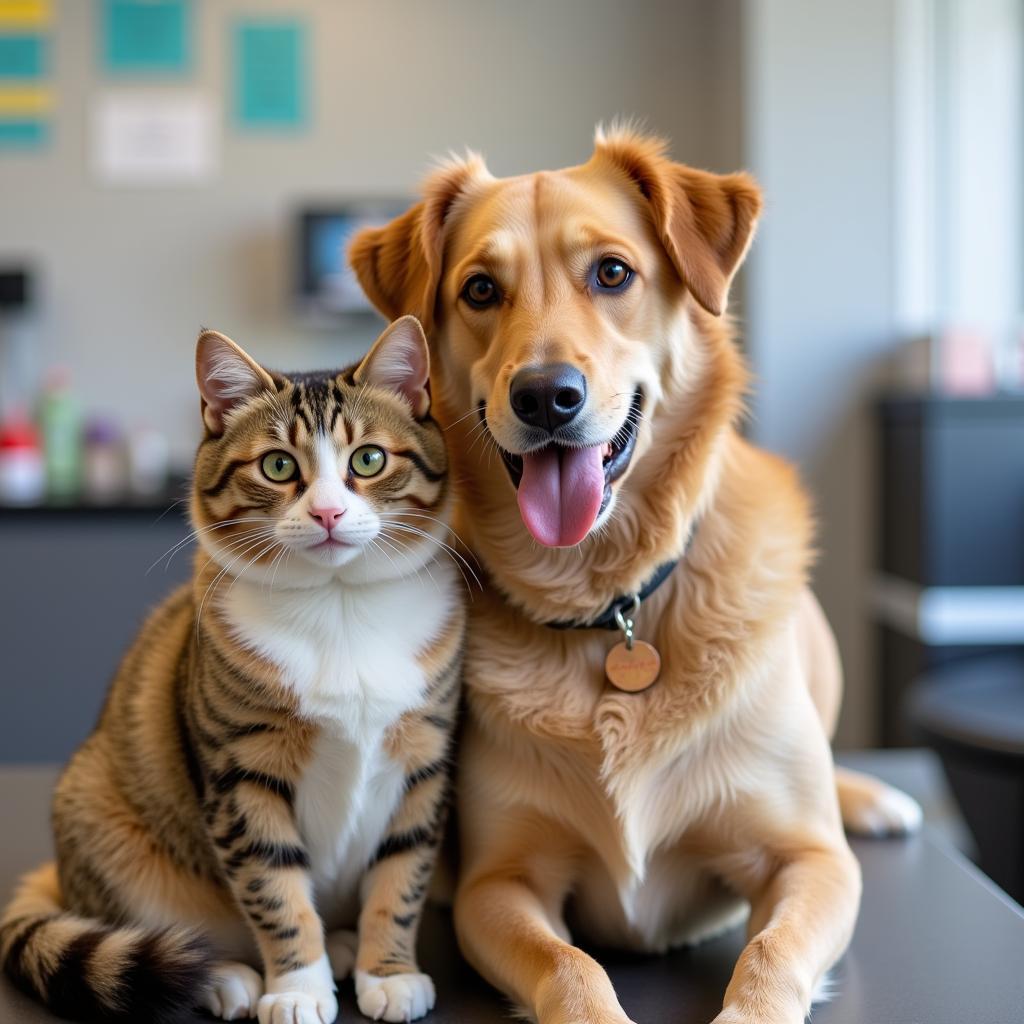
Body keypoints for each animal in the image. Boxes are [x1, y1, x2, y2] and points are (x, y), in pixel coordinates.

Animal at [0, 317, 464, 1024]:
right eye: (278, 465)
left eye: (368, 459)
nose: (328, 513)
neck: (339, 606)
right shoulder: (243, 775)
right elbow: (274, 890)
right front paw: (297, 987)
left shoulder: (424, 763)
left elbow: (401, 876)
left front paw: (389, 972)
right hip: (107, 828)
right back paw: (224, 976)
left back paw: (346, 946)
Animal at [350, 128, 921, 1024]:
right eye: (480, 289)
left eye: (612, 273)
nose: (546, 395)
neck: (611, 605)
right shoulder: (498, 882)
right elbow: (570, 968)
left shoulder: (811, 863)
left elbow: (770, 955)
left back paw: (870, 796)